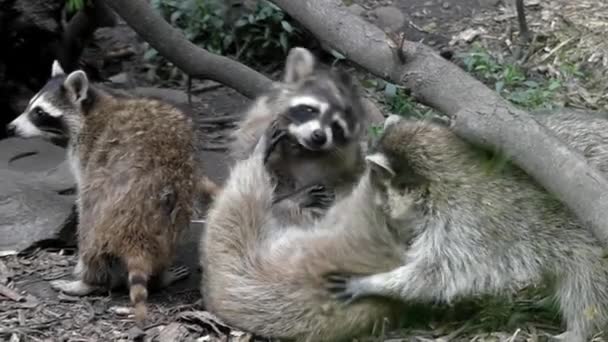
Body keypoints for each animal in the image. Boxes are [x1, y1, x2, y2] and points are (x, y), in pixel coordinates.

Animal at [6, 60, 197, 324]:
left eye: (40, 112)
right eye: (29, 105)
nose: (10, 127)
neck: (91, 108)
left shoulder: (88, 150)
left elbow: (82, 187)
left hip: (105, 216)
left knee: (88, 231)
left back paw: (90, 280)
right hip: (169, 221)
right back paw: (160, 277)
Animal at [328, 113, 608, 342]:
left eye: (382, 207)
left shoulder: (467, 225)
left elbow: (437, 276)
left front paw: (376, 282)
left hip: (591, 243)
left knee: (587, 286)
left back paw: (581, 329)